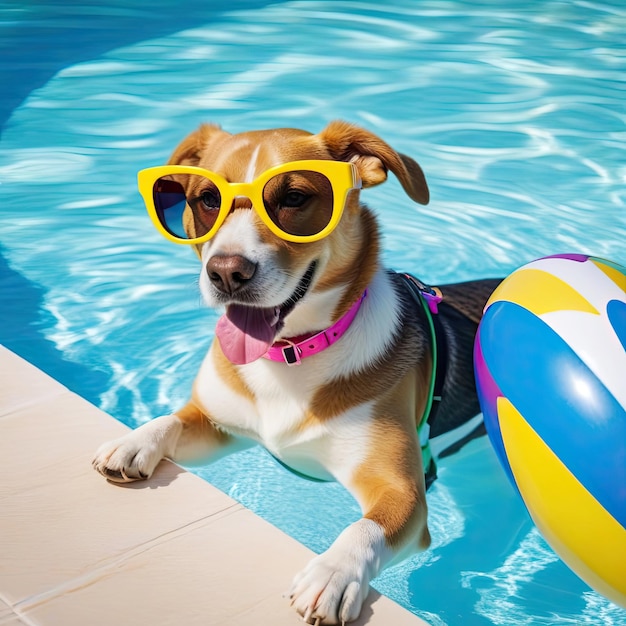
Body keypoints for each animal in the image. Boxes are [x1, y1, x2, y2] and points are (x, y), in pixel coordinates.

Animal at [92, 119, 500, 620]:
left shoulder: (402, 491)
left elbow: (364, 528)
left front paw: (334, 573)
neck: (293, 355)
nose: (226, 273)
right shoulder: (220, 424)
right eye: (206, 199)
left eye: (294, 197)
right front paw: (135, 440)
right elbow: (172, 419)